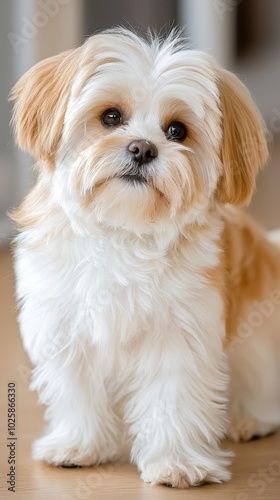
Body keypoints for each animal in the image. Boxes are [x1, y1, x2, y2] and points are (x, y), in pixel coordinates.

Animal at [9, 28, 278, 488]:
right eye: (111, 117)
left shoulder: (179, 335)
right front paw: (78, 444)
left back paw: (250, 420)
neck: (124, 230)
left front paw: (177, 463)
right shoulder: (65, 324)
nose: (142, 148)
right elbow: (76, 389)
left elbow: (172, 398)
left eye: (177, 130)